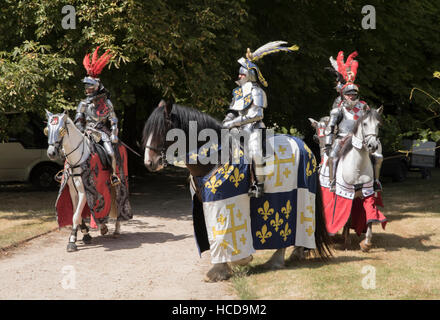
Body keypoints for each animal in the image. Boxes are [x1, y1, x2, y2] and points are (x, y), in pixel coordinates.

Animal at [45, 110, 120, 252]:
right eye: (47, 130)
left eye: (61, 130)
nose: (51, 153)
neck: (76, 159)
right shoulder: (73, 192)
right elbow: (77, 214)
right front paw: (85, 234)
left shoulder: (84, 192)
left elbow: (75, 216)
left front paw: (72, 241)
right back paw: (103, 227)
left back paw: (116, 229)